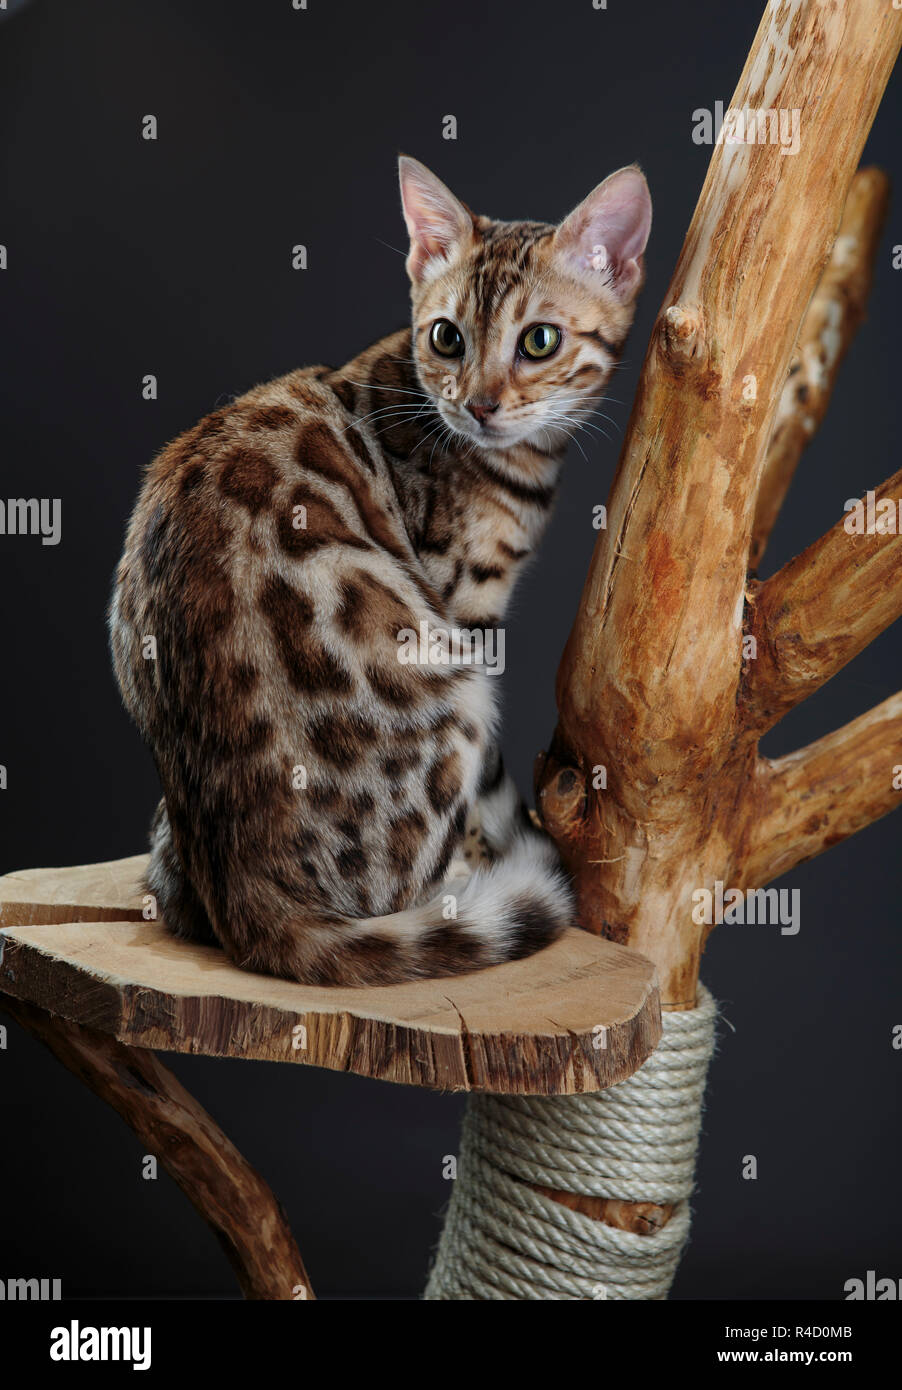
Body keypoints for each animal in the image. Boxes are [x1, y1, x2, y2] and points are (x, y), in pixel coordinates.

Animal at [109, 154, 650, 989]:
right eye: (447, 337)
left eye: (540, 341)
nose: (481, 405)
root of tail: (248, 892)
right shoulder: (465, 607)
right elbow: (481, 804)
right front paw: (485, 855)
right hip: (453, 686)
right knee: (401, 893)